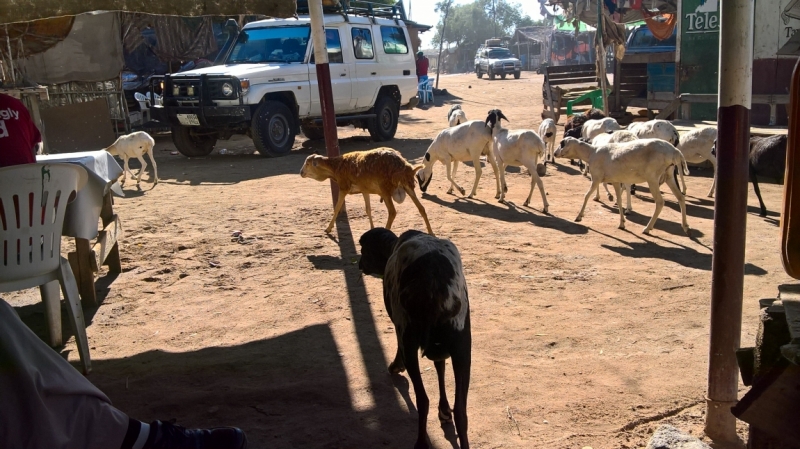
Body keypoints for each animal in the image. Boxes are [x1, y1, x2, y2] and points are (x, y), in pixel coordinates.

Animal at [300, 149, 434, 236]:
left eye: (308, 163)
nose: (301, 172)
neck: (335, 169)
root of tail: (406, 168)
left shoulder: (344, 187)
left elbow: (337, 207)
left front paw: (328, 229)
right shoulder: (365, 190)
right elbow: (368, 209)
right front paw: (372, 228)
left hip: (385, 189)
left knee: (392, 212)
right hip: (408, 186)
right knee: (421, 208)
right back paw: (431, 232)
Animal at [356, 228, 468, 448]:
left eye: (364, 249)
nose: (359, 264)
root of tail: (435, 278)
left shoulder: (401, 332)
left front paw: (395, 366)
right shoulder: (441, 347)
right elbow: (440, 367)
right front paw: (444, 410)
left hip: (410, 340)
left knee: (423, 399)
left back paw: (421, 442)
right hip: (463, 347)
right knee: (461, 410)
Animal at [552, 136, 692, 234]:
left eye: (562, 143)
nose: (554, 153)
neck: (592, 152)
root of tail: (674, 150)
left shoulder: (596, 178)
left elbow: (586, 196)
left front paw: (579, 216)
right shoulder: (615, 181)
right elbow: (619, 201)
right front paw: (622, 223)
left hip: (652, 178)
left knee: (660, 202)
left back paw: (647, 228)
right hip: (669, 175)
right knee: (681, 197)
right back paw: (685, 226)